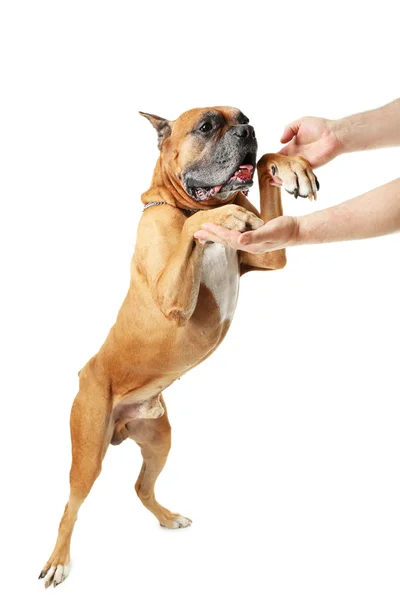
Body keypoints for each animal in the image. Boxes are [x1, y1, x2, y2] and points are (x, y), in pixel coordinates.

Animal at [38, 106, 318, 584]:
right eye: (207, 126)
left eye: (243, 117)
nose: (248, 131)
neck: (194, 202)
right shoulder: (173, 302)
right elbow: (194, 225)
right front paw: (220, 217)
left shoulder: (270, 253)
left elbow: (263, 171)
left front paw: (289, 166)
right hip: (88, 453)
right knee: (70, 507)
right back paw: (58, 561)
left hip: (159, 440)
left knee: (140, 487)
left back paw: (168, 518)